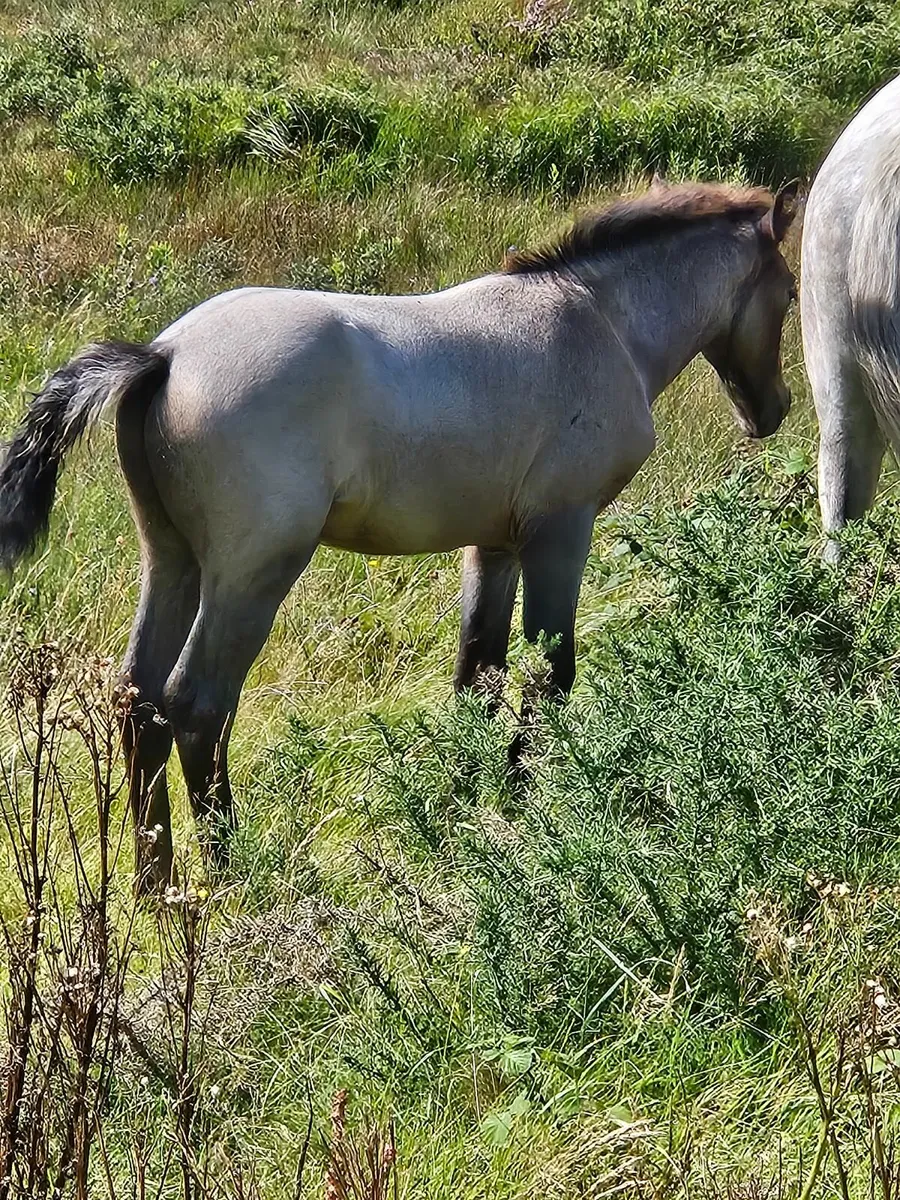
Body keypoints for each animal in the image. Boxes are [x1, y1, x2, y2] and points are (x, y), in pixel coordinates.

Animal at [0, 180, 798, 890]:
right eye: (790, 293)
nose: (774, 411)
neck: (598, 322)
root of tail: (164, 355)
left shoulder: (494, 545)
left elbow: (479, 674)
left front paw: (469, 809)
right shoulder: (560, 533)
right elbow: (550, 677)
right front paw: (527, 813)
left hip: (173, 561)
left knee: (139, 704)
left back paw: (156, 888)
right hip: (252, 574)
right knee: (196, 706)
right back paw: (229, 880)